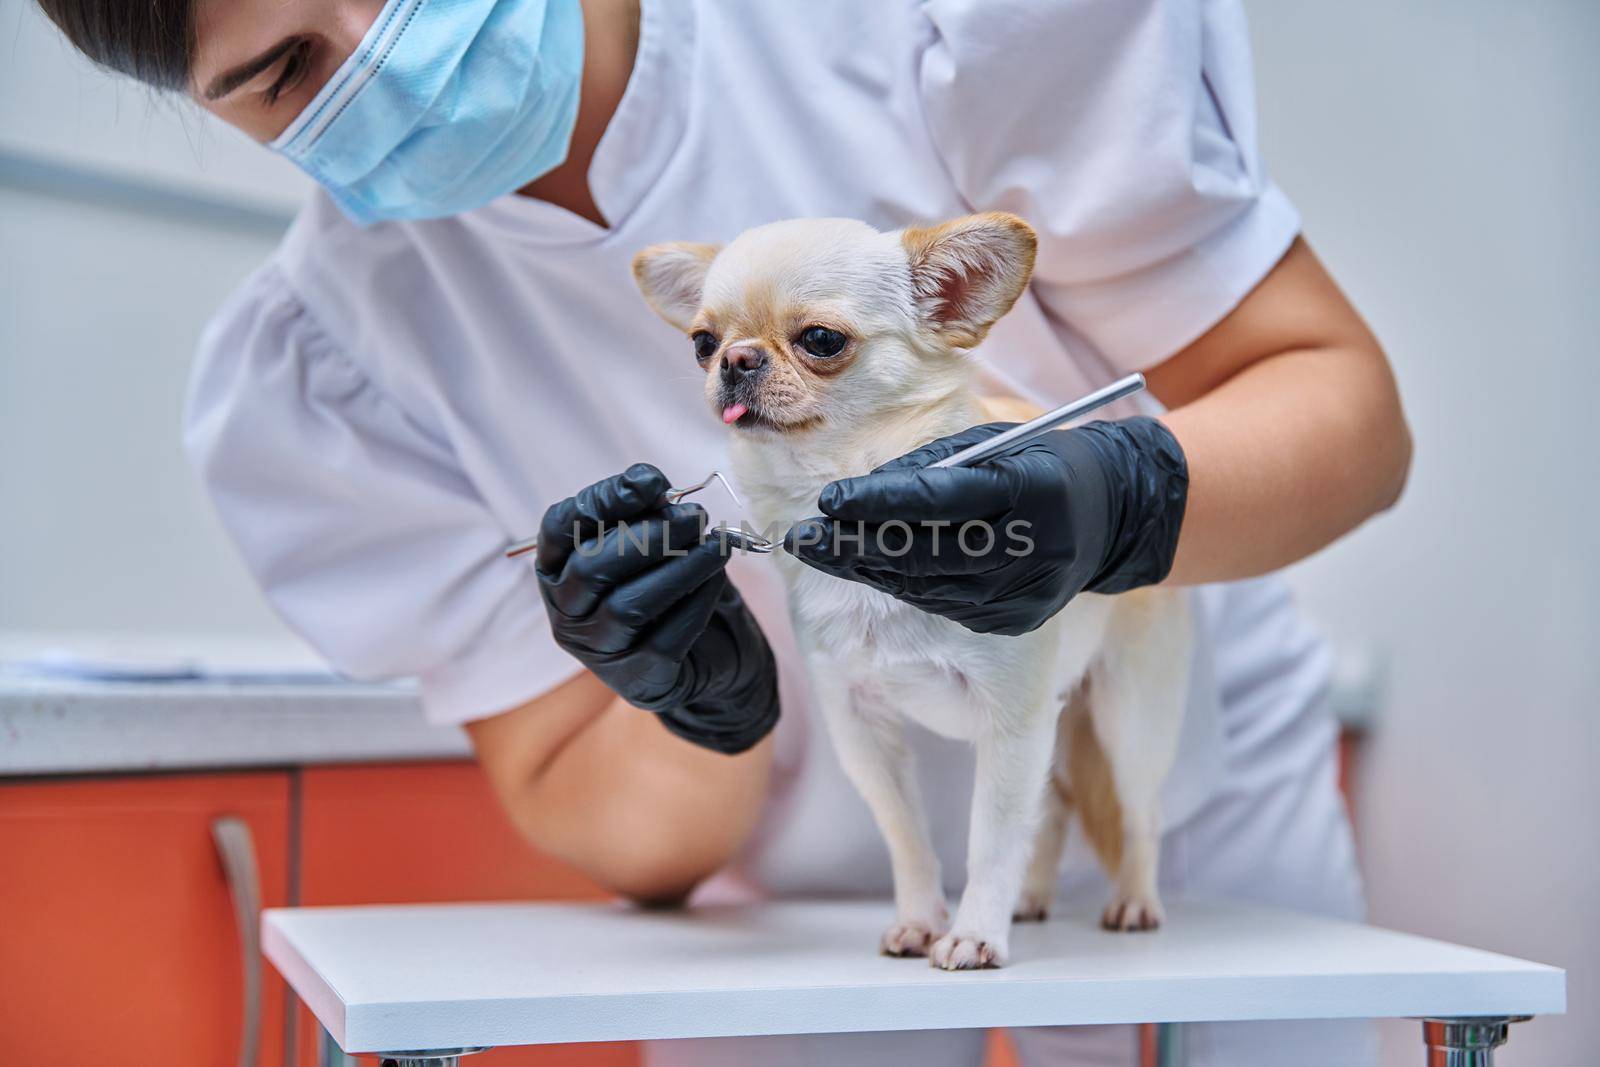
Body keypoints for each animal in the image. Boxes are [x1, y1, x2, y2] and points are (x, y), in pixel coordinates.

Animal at [633, 214, 1190, 966]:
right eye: (702, 343)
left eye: (821, 340)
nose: (736, 360)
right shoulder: (863, 725)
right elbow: (907, 833)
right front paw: (924, 918)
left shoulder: (1012, 722)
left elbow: (990, 840)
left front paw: (976, 933)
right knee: (1053, 811)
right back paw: (1031, 898)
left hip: (1128, 716)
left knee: (1140, 812)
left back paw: (1134, 899)